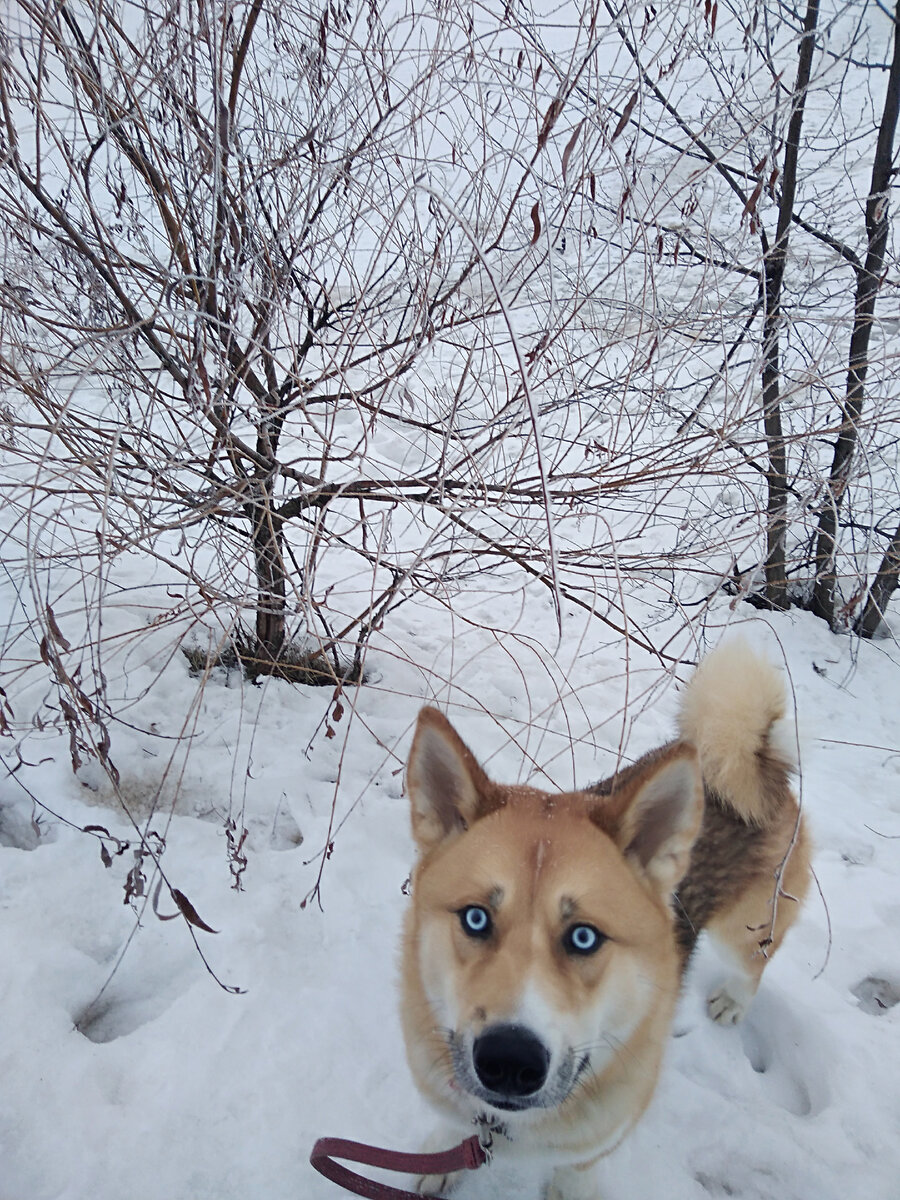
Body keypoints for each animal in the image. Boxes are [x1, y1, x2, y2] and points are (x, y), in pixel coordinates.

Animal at [400, 643, 811, 1195]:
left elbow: (574, 1172)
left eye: (583, 936)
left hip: (744, 924)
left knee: (757, 957)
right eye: (476, 919)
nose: (509, 1061)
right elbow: (451, 1122)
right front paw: (440, 1159)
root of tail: (749, 758)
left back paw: (733, 1000)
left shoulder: (597, 1143)